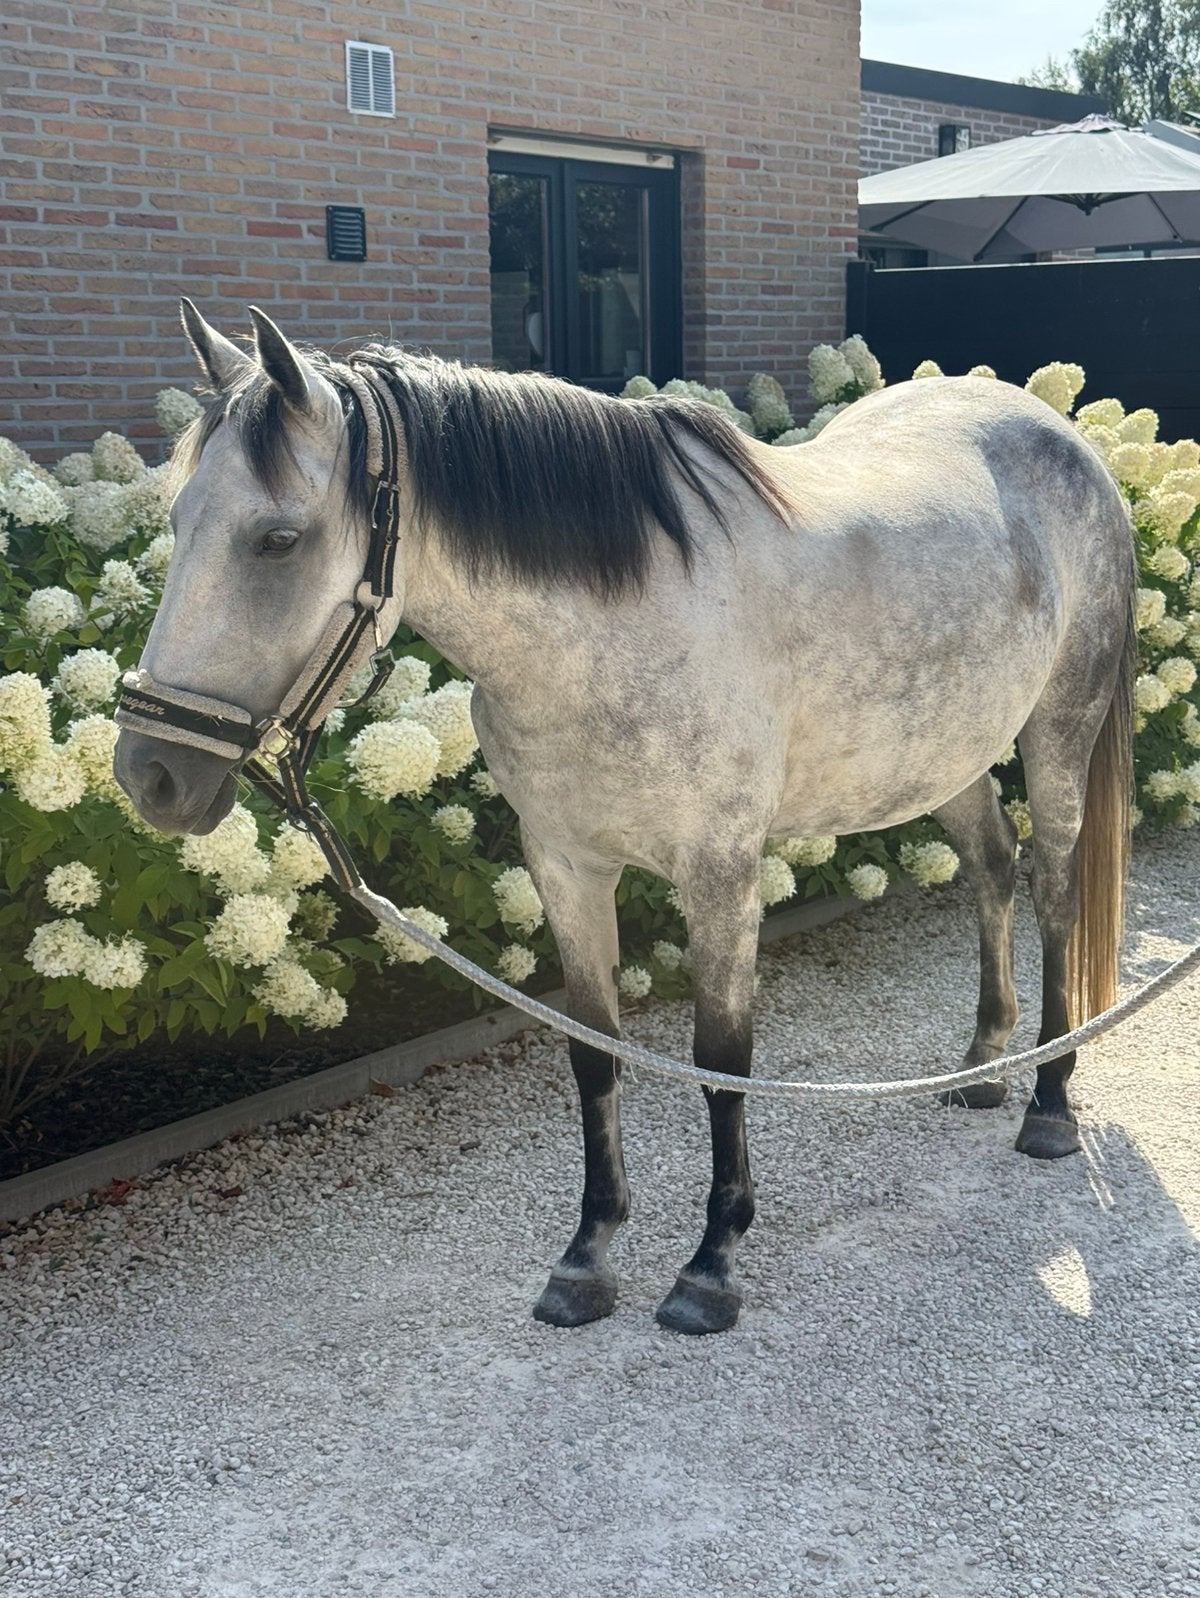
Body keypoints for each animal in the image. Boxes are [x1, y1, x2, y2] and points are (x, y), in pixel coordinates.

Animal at [114, 302, 1134, 1336]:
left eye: (278, 540)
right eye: (179, 520)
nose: (149, 775)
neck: (617, 625)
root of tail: (1061, 440)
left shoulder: (719, 871)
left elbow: (720, 1057)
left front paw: (711, 1264)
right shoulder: (564, 866)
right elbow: (592, 1050)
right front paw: (587, 1256)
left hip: (1056, 732)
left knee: (1052, 891)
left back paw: (1049, 1103)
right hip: (945, 755)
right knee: (993, 869)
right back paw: (983, 1067)